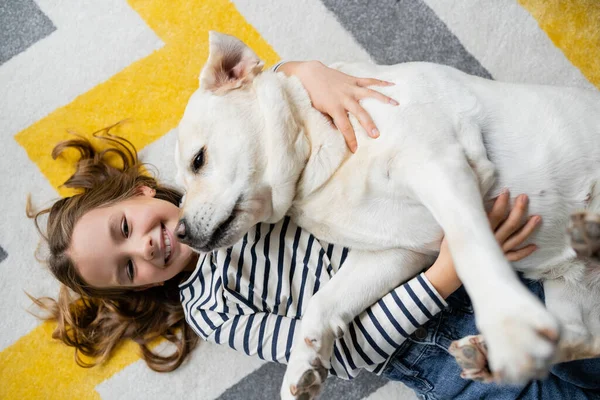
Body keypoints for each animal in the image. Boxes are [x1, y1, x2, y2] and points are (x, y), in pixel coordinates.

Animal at [176, 32, 600, 396]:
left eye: (198, 160)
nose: (179, 232)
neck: (318, 150)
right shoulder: (399, 253)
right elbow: (322, 301)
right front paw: (304, 364)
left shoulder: (440, 166)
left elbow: (470, 247)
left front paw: (507, 324)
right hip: (567, 289)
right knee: (582, 338)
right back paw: (485, 355)